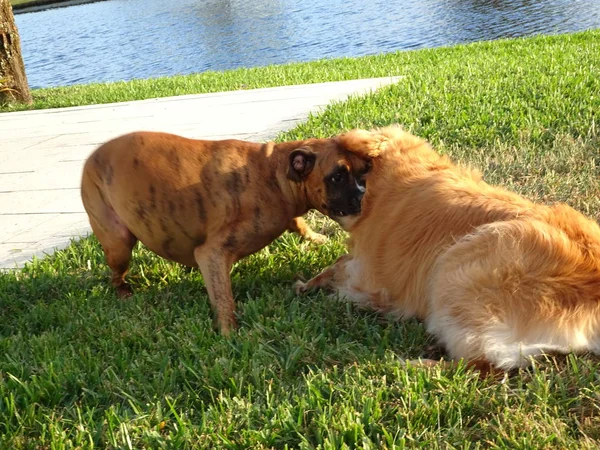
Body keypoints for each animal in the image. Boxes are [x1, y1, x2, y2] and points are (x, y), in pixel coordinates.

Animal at [79, 130, 370, 334]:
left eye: (362, 172)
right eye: (336, 177)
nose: (363, 195)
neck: (273, 175)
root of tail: (92, 157)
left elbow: (297, 222)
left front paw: (315, 237)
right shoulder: (213, 254)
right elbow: (223, 296)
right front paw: (230, 332)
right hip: (118, 243)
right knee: (116, 274)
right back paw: (123, 292)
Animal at [296, 125, 600, 370]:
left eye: (334, 175)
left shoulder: (369, 277)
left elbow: (339, 269)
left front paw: (311, 285)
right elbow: (338, 262)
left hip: (457, 266)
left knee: (477, 364)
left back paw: (409, 364)